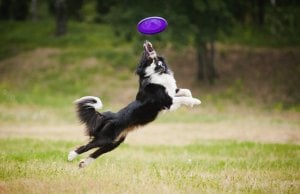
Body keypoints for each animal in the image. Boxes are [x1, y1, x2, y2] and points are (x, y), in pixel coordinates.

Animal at [67, 40, 200, 167]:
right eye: (143, 55)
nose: (146, 41)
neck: (158, 71)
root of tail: (110, 116)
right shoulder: (167, 101)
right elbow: (182, 98)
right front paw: (195, 101)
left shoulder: (172, 93)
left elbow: (186, 91)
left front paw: (191, 100)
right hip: (106, 138)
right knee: (87, 145)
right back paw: (71, 156)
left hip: (114, 142)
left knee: (96, 152)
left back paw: (83, 164)